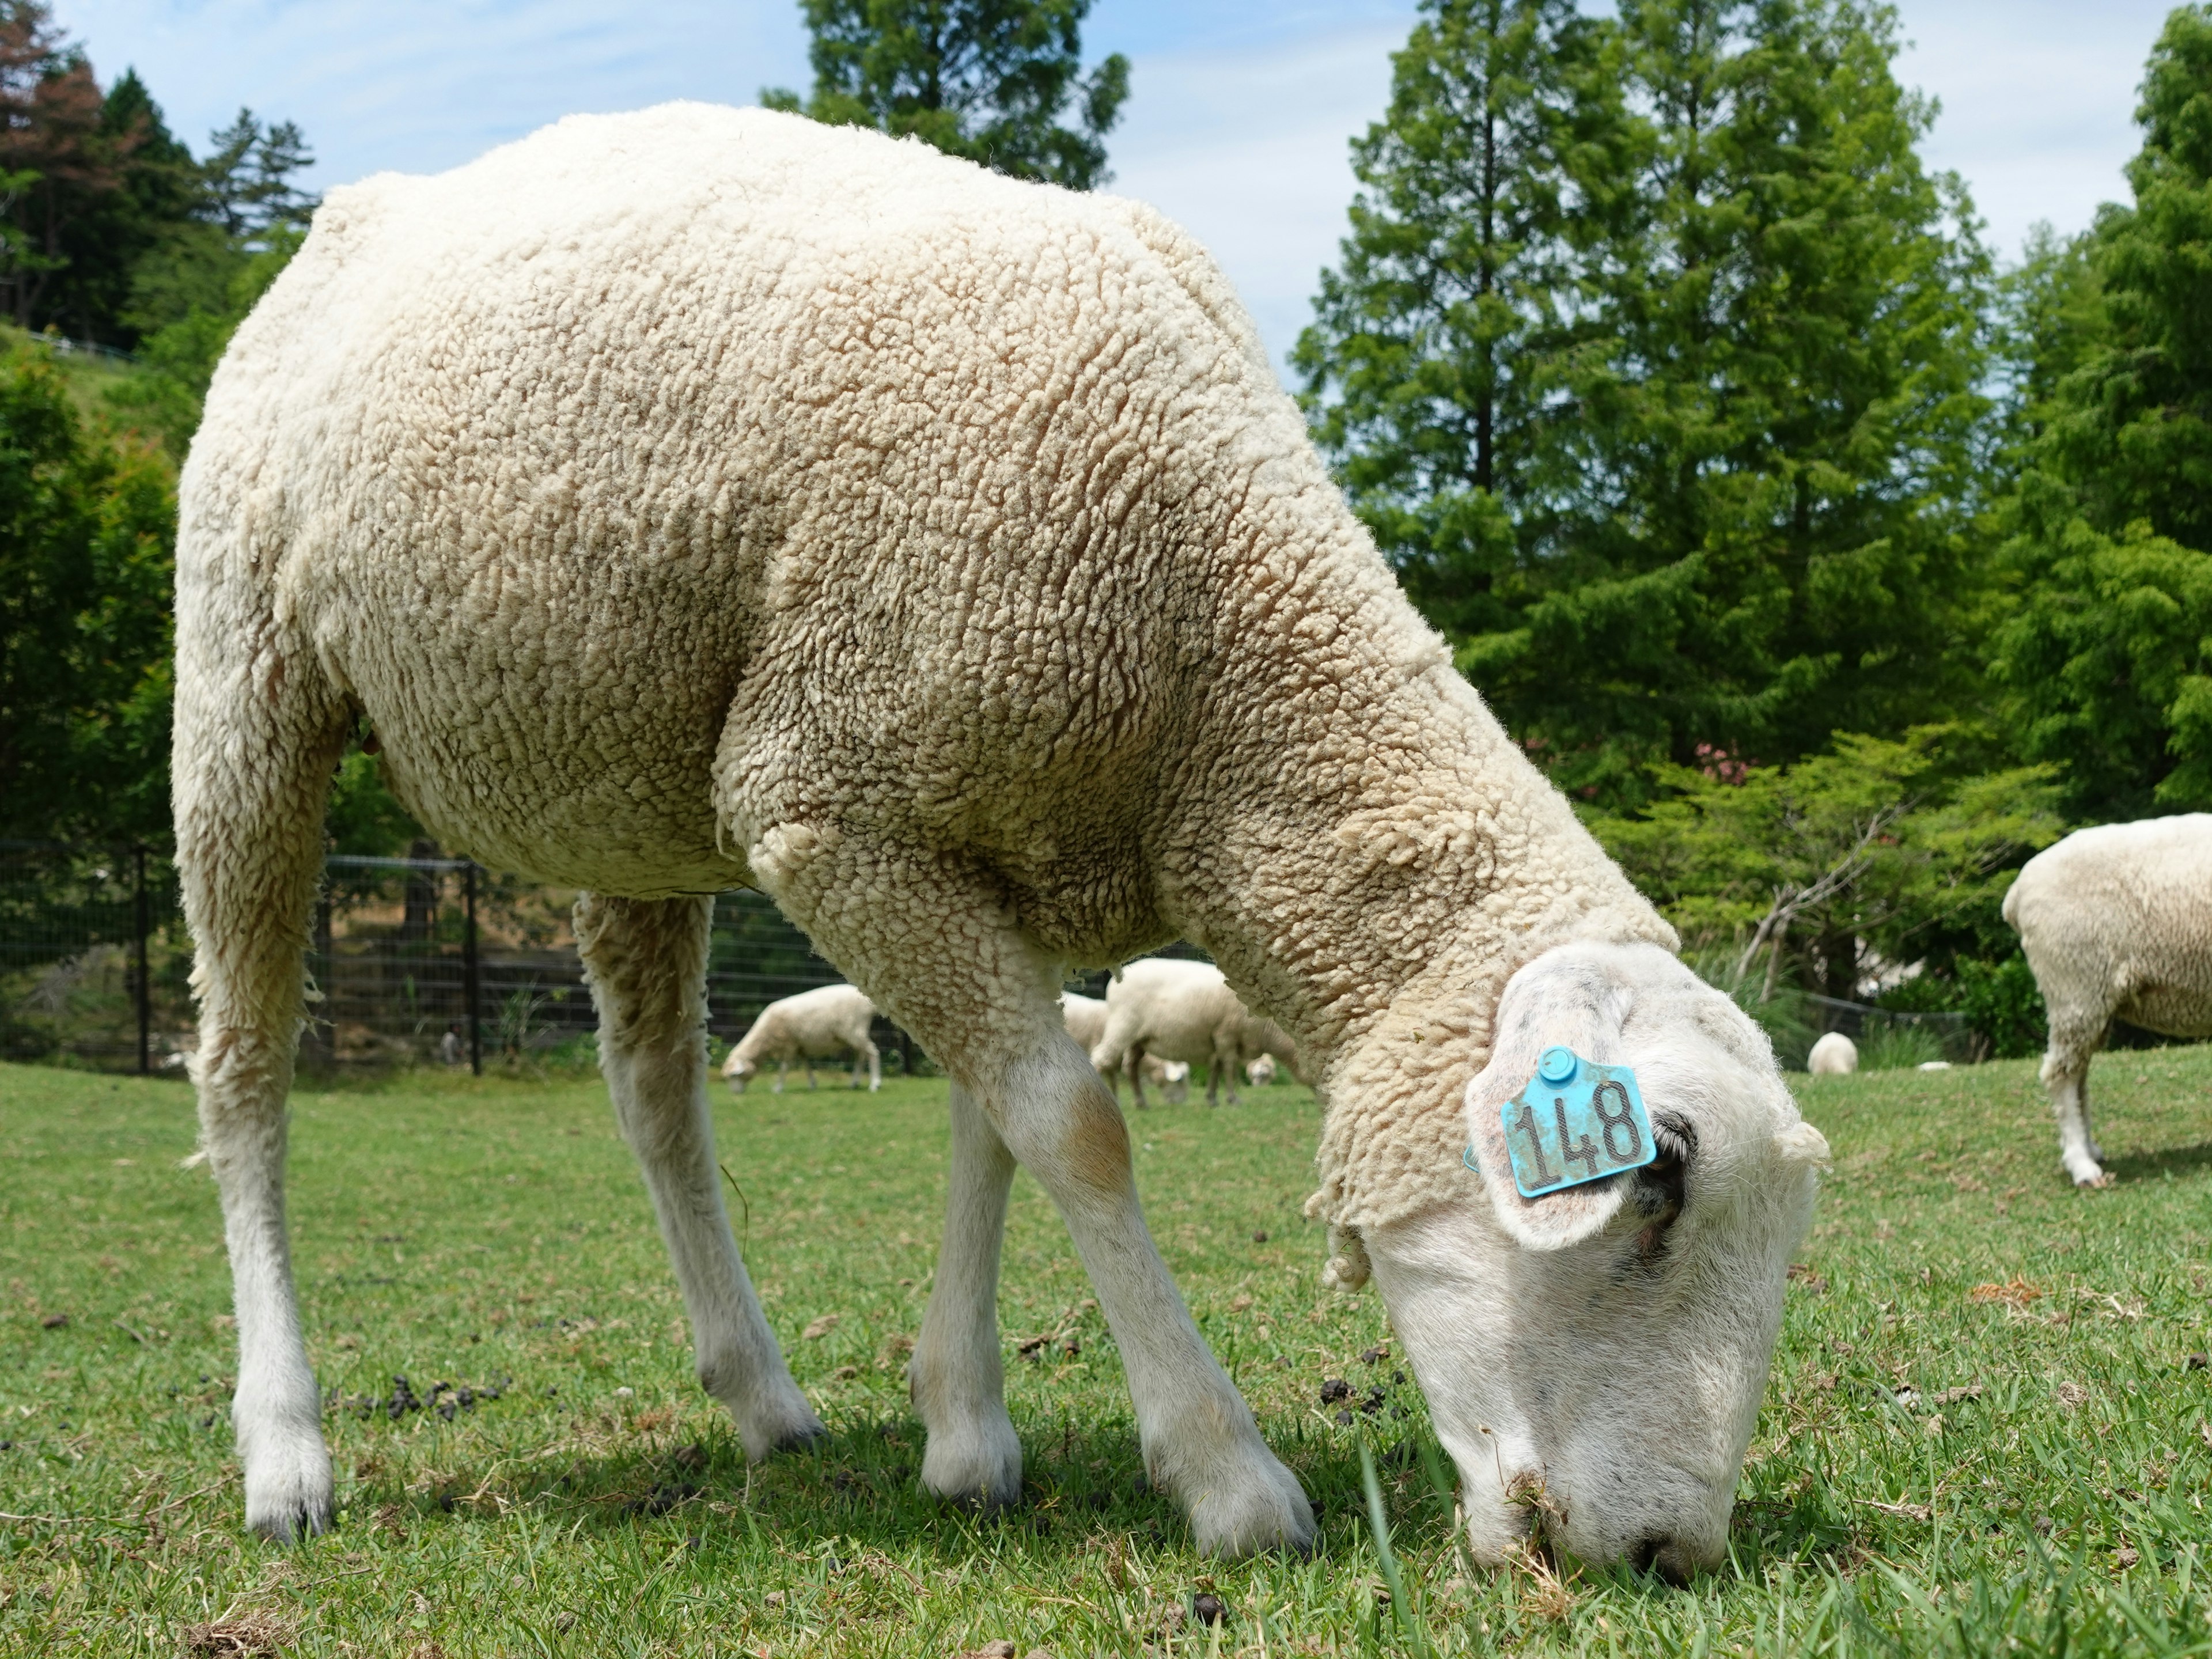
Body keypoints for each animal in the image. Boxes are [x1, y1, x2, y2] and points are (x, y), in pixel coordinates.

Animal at [717, 982, 871, 1097]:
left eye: (733, 1076)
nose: (735, 1094)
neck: (765, 1038)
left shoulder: (789, 1045)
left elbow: (784, 1068)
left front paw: (778, 1089)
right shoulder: (799, 1046)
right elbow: (806, 1064)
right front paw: (812, 1085)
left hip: (854, 1029)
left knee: (872, 1053)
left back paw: (874, 1084)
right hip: (854, 1034)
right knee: (861, 1055)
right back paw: (854, 1083)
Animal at [2008, 814, 2212, 1185]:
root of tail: (2017, 894)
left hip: (2092, 996)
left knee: (2080, 1076)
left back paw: (2091, 1150)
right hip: (2075, 982)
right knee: (2061, 1075)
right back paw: (2082, 1166)